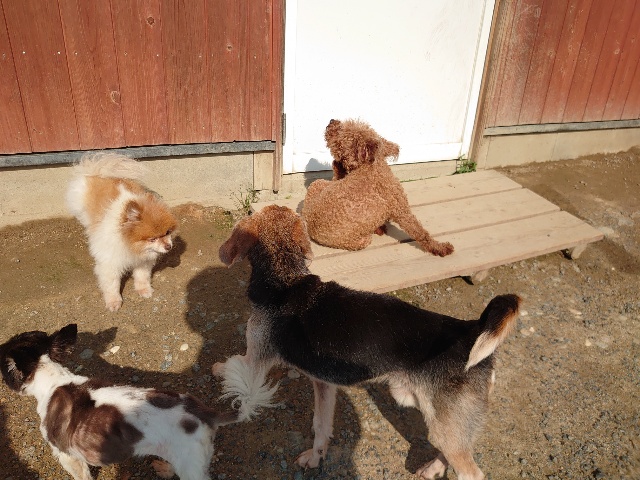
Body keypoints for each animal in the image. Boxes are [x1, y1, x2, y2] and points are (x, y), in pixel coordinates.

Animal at [66, 153, 177, 311]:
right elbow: (112, 285)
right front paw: (114, 301)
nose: (168, 246)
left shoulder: (142, 261)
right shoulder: (110, 263)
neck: (130, 245)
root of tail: (98, 173)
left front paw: (144, 290)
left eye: (167, 232)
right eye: (152, 239)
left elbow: (142, 276)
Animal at [213, 205, 519, 480]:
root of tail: (471, 330)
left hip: (444, 422)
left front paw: (218, 368)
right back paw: (432, 468)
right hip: (437, 416)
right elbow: (321, 425)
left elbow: (234, 363)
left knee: (471, 472)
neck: (286, 279)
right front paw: (316, 457)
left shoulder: (254, 359)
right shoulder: (324, 384)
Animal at [302, 119, 454, 256]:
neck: (373, 166)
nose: (331, 121)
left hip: (316, 184)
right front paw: (440, 247)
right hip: (362, 241)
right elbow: (420, 232)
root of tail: (308, 224)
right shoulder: (401, 210)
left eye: (341, 131)